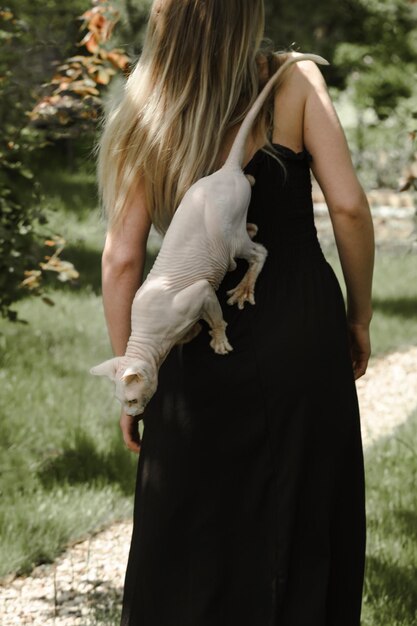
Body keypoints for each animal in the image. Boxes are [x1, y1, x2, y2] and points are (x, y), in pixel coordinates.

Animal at [89, 52, 326, 414]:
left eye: (131, 399)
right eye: (120, 401)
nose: (131, 414)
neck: (148, 336)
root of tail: (226, 172)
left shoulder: (197, 295)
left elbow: (214, 315)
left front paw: (218, 341)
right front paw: (192, 335)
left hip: (230, 238)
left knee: (259, 251)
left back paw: (242, 286)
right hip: (233, 211)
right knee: (251, 210)